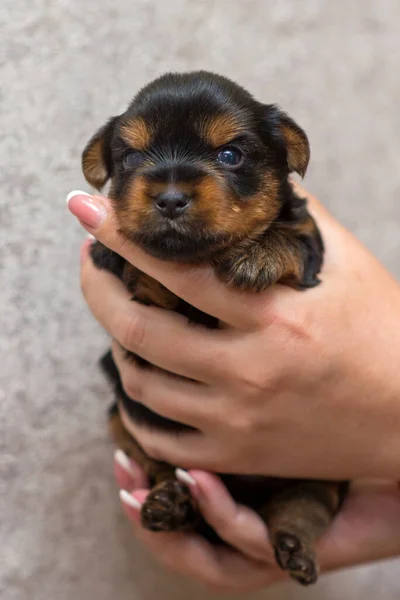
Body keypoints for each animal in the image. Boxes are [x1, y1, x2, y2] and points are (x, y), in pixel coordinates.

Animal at [81, 71, 346, 584]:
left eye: (230, 155)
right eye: (131, 158)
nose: (169, 198)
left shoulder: (310, 249)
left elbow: (290, 240)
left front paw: (259, 254)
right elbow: (135, 265)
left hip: (324, 462)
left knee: (307, 501)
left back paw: (295, 547)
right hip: (120, 421)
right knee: (161, 467)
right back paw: (171, 503)